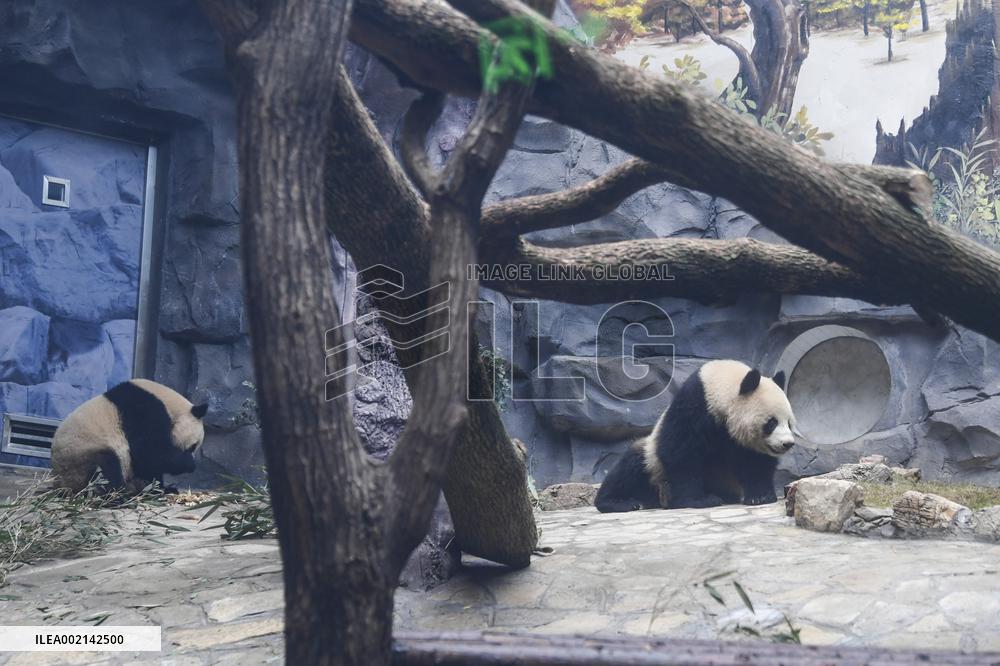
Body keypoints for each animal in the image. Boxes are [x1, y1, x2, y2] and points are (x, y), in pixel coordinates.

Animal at [50, 379, 208, 494]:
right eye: (193, 446)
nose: (192, 459)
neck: (170, 405)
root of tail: (60, 481)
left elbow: (150, 465)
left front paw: (161, 488)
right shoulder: (144, 411)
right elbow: (150, 454)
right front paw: (188, 464)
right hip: (81, 454)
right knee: (106, 468)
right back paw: (116, 495)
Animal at [595, 360, 799, 513]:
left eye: (789, 423)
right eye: (771, 423)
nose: (787, 444)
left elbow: (755, 461)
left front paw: (760, 496)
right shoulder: (695, 404)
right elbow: (680, 452)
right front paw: (699, 500)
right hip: (651, 460)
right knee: (630, 467)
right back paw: (620, 502)